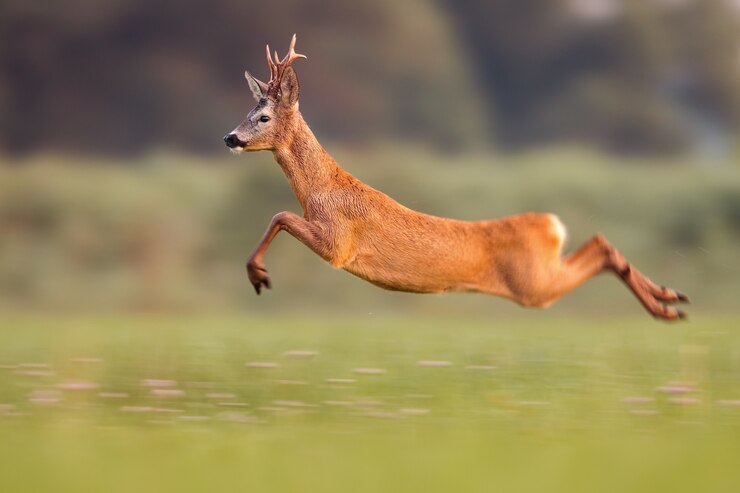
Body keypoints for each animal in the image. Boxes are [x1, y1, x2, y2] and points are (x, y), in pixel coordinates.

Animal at [223, 34, 692, 320]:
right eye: (247, 111)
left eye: (263, 117)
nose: (230, 137)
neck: (322, 190)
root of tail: (551, 225)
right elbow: (280, 215)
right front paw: (256, 273)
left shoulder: (338, 243)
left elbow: (280, 215)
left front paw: (258, 275)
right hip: (540, 276)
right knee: (600, 243)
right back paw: (671, 299)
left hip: (533, 285)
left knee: (600, 247)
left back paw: (667, 306)